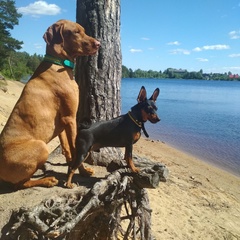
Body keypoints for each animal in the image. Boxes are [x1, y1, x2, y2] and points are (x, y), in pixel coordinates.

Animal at [0, 19, 100, 189]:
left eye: (84, 31)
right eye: (76, 32)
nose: (99, 44)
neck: (59, 64)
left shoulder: (62, 122)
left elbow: (67, 148)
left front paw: (71, 168)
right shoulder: (70, 117)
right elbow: (75, 149)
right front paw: (82, 171)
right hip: (41, 146)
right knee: (22, 183)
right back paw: (47, 180)